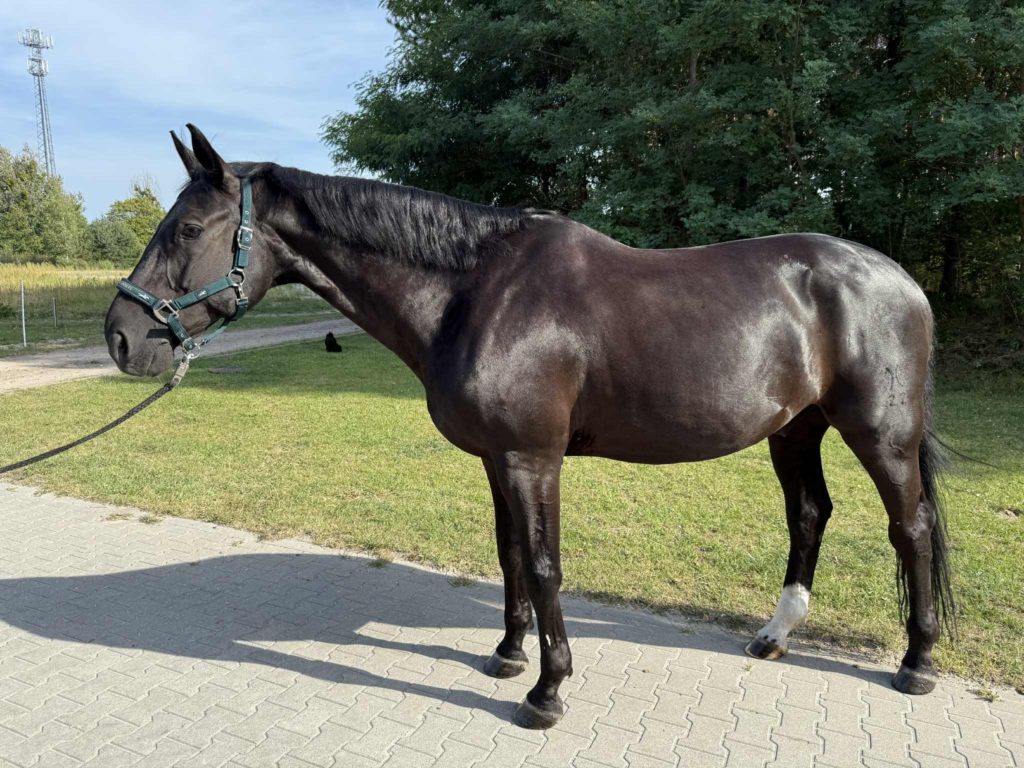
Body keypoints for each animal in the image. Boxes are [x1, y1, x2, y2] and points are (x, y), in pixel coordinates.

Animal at [105, 125, 954, 729]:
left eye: (187, 230)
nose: (120, 337)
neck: (477, 291)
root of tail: (900, 279)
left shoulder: (531, 458)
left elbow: (545, 566)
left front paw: (547, 692)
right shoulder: (494, 459)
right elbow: (509, 555)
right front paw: (508, 657)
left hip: (879, 433)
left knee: (908, 528)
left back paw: (917, 662)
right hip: (795, 428)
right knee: (810, 514)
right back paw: (774, 637)